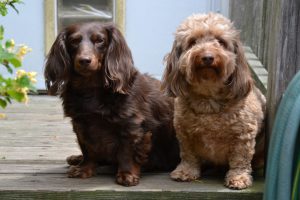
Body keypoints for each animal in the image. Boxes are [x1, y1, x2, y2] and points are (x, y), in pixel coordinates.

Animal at [162, 13, 264, 190]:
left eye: (221, 41)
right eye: (192, 41)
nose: (207, 57)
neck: (208, 96)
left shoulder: (243, 136)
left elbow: (240, 160)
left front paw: (238, 178)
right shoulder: (184, 133)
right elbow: (188, 155)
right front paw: (185, 172)